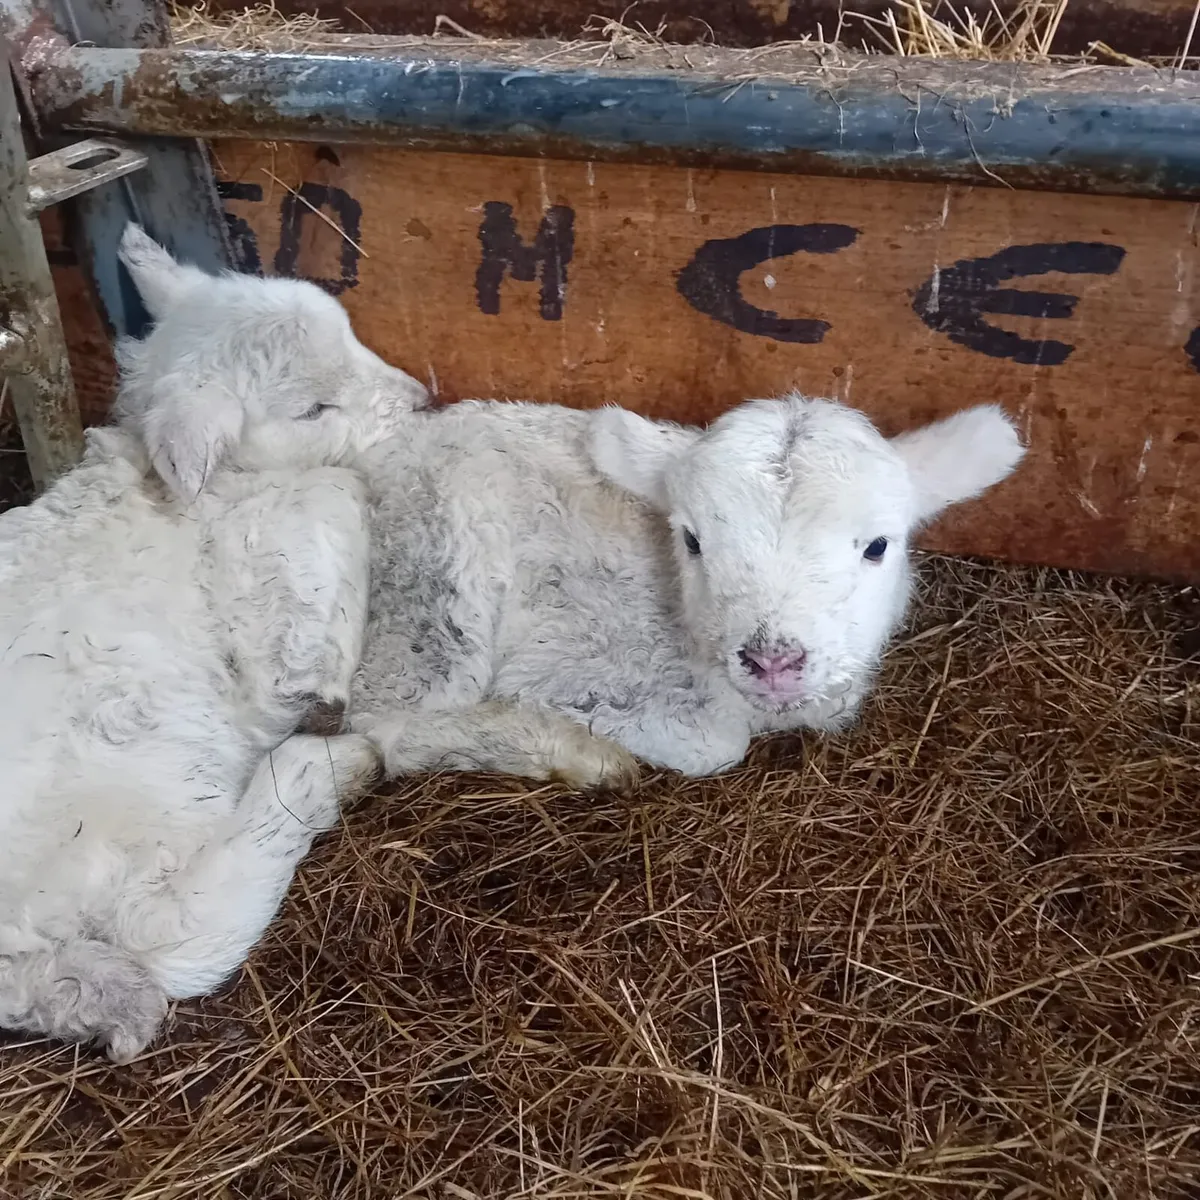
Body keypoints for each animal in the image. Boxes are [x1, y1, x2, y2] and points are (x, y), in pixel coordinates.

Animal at [0, 225, 433, 1061]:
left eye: (353, 336)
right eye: (312, 408)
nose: (422, 401)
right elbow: (340, 505)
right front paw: (323, 699)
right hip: (148, 775)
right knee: (167, 931)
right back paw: (321, 770)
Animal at [352, 396, 1024, 779]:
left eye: (878, 545)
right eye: (693, 541)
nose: (772, 662)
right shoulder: (571, 655)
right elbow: (715, 745)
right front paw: (587, 737)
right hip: (433, 581)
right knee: (388, 717)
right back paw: (576, 757)